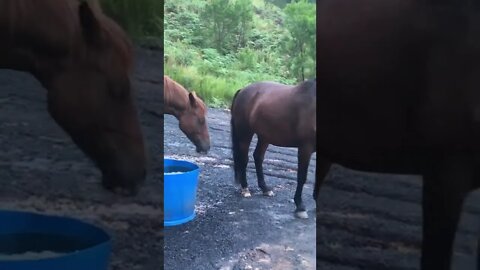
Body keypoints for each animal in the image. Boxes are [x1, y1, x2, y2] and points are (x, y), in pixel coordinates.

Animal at [230, 79, 316, 218]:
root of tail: (243, 90)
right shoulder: (305, 148)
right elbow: (302, 177)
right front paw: (300, 207)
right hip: (245, 134)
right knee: (244, 159)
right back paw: (245, 189)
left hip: (264, 137)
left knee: (258, 157)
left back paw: (265, 189)